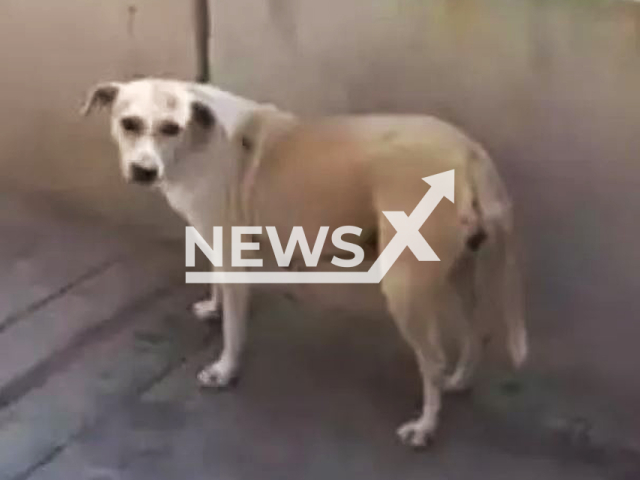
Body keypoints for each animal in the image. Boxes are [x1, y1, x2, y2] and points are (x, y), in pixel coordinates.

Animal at [82, 77, 528, 448]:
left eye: (170, 128)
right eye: (128, 123)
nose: (143, 170)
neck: (198, 140)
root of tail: (469, 153)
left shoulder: (232, 253)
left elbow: (234, 330)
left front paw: (225, 370)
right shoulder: (214, 241)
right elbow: (216, 287)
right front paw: (213, 307)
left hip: (405, 286)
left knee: (432, 361)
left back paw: (425, 426)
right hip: (459, 272)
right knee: (476, 331)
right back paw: (460, 381)